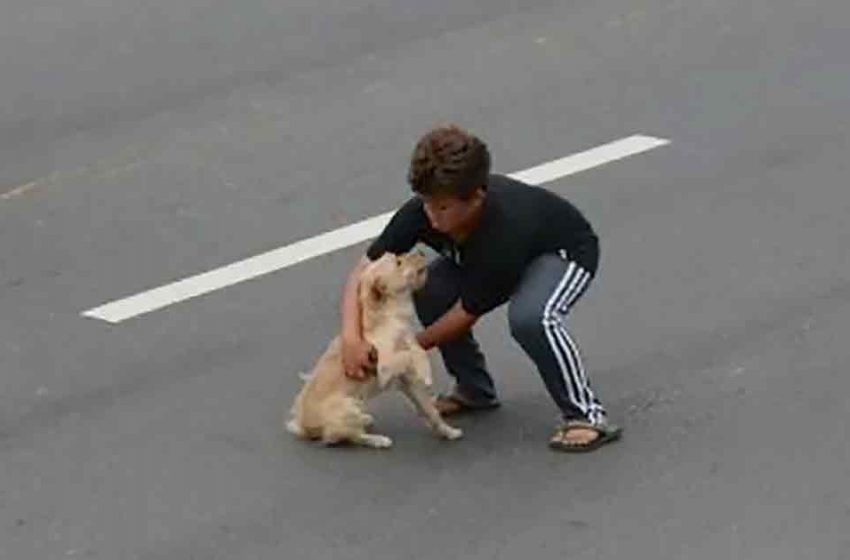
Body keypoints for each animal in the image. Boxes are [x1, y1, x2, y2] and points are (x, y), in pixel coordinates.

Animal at [284, 252, 460, 448]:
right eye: (398, 262)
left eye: (398, 255)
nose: (421, 253)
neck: (390, 317)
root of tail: (304, 427)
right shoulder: (384, 368)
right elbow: (412, 353)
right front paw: (425, 369)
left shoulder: (408, 382)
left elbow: (430, 411)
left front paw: (448, 431)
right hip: (349, 407)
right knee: (348, 437)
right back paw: (377, 440)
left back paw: (366, 420)